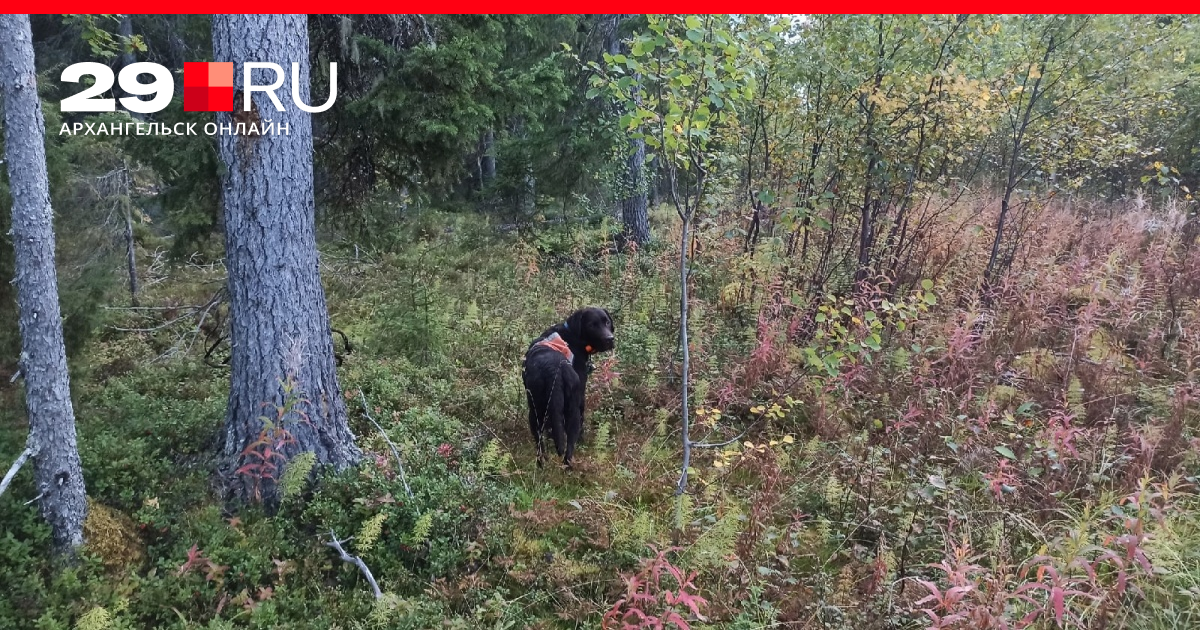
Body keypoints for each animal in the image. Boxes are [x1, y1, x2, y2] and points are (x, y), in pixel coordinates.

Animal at [520, 304, 614, 465]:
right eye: (591, 325)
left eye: (607, 322)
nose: (610, 339)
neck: (572, 335)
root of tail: (553, 369)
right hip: (567, 409)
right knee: (568, 444)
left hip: (536, 409)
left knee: (541, 443)